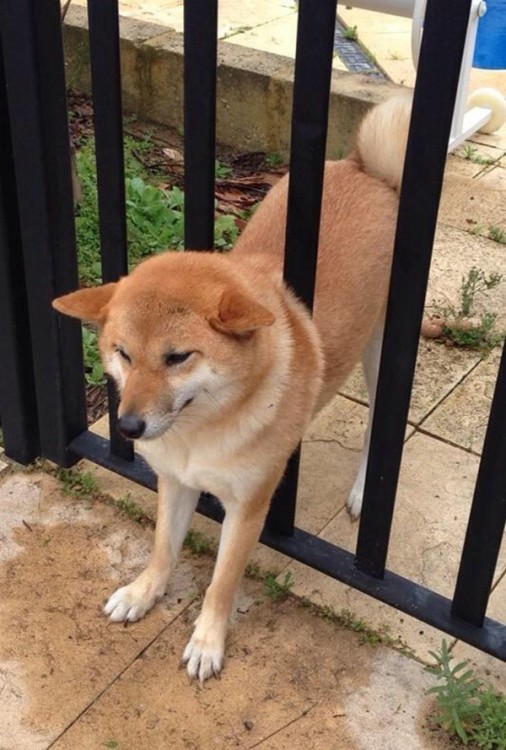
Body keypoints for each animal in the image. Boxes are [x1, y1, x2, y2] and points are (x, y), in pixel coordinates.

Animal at [53, 92, 412, 680]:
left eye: (177, 358)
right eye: (123, 354)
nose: (127, 427)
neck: (201, 431)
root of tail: (367, 170)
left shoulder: (247, 509)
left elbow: (221, 584)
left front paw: (207, 641)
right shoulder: (174, 482)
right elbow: (163, 548)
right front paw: (143, 593)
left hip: (382, 357)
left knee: (379, 433)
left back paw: (364, 489)